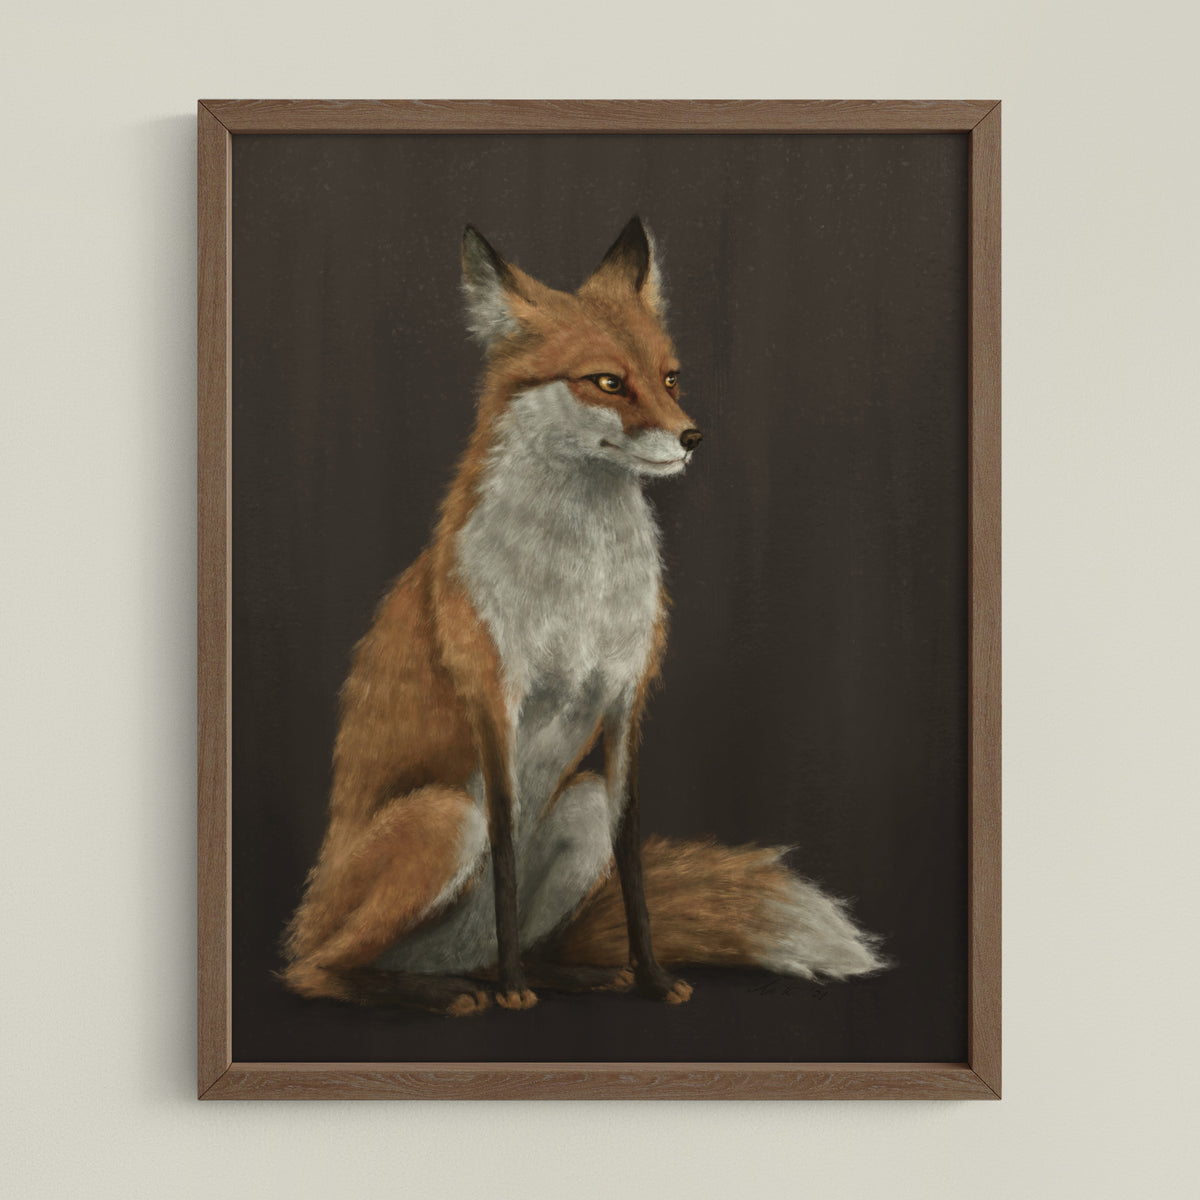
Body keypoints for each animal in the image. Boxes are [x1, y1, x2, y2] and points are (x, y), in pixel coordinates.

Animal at [281, 216, 887, 1015]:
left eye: (670, 377)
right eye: (607, 381)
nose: (693, 437)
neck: (581, 584)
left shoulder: (626, 699)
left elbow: (632, 865)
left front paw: (652, 978)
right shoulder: (494, 700)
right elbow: (506, 853)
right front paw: (515, 993)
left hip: (580, 806)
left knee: (490, 945)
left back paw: (564, 975)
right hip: (443, 819)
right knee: (316, 970)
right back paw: (452, 991)